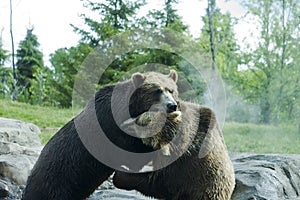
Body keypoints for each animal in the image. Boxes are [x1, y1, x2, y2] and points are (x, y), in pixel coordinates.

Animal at [22, 70, 180, 200]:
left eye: (171, 90)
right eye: (157, 91)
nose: (172, 105)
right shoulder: (110, 128)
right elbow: (130, 152)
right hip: (56, 180)